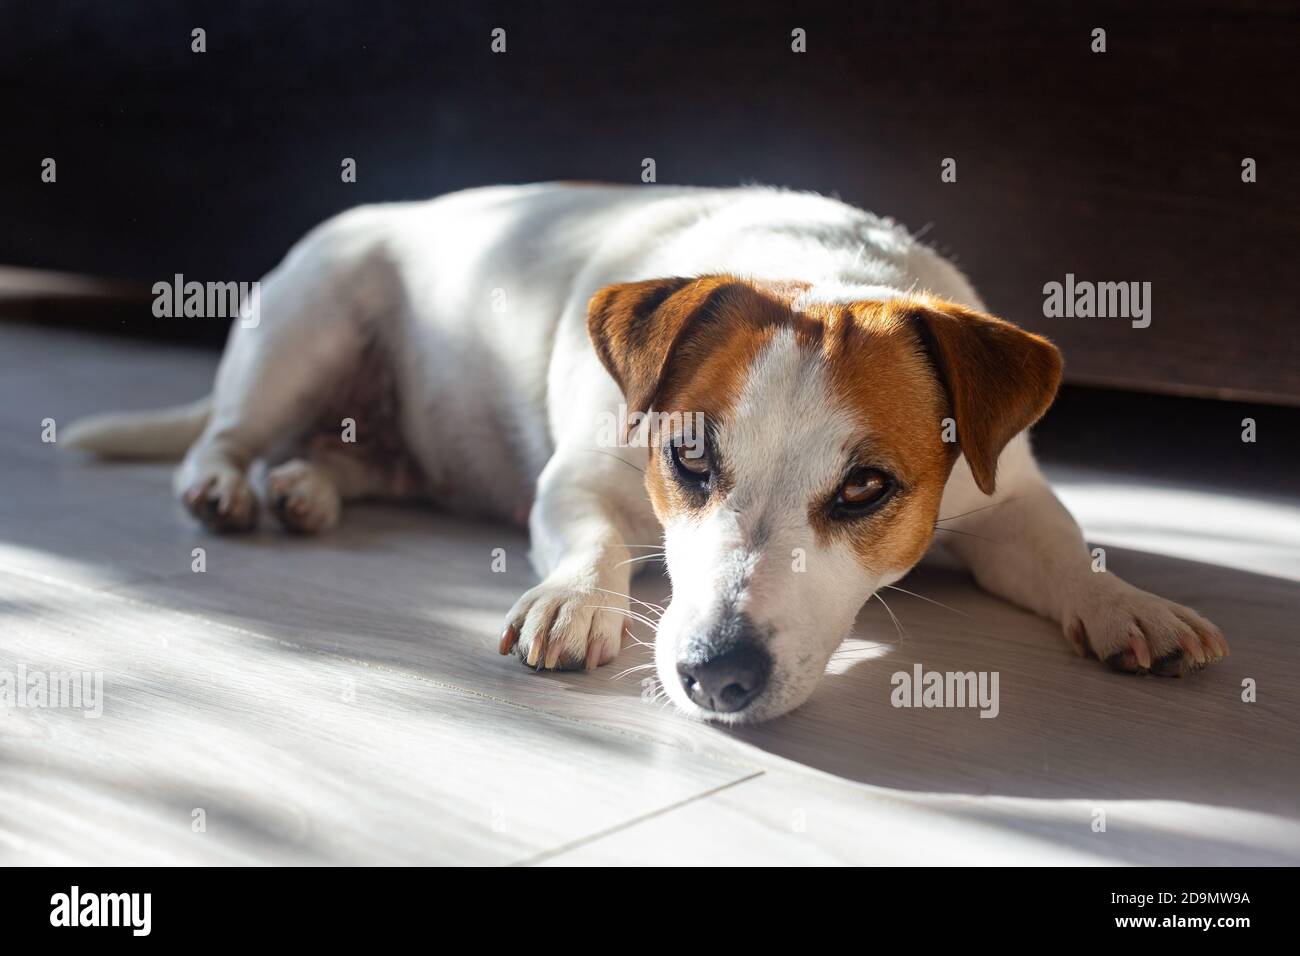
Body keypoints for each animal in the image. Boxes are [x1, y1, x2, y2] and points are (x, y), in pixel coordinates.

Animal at [65, 183, 1227, 723]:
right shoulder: (580, 478)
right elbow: (595, 544)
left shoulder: (1008, 500)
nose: (716, 674)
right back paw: (227, 484)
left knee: (346, 460)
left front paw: (1129, 606)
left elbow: (1067, 552)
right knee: (223, 433)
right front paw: (576, 601)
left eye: (866, 488)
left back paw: (307, 487)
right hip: (309, 322)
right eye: (692, 461)